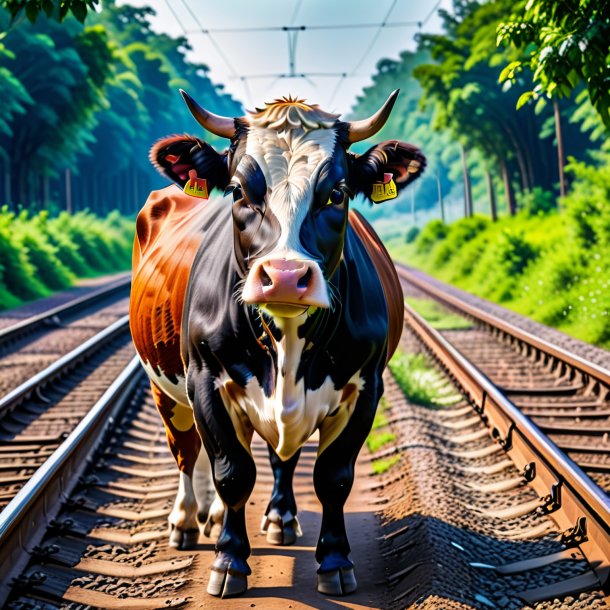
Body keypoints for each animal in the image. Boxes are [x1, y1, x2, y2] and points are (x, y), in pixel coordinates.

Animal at [128, 88, 422, 596]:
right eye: (238, 191)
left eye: (337, 193)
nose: (285, 276)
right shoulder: (205, 379)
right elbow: (232, 471)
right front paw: (228, 561)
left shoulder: (366, 386)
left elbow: (332, 476)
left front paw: (335, 561)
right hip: (165, 387)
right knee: (187, 450)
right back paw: (187, 520)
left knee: (279, 455)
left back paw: (275, 517)